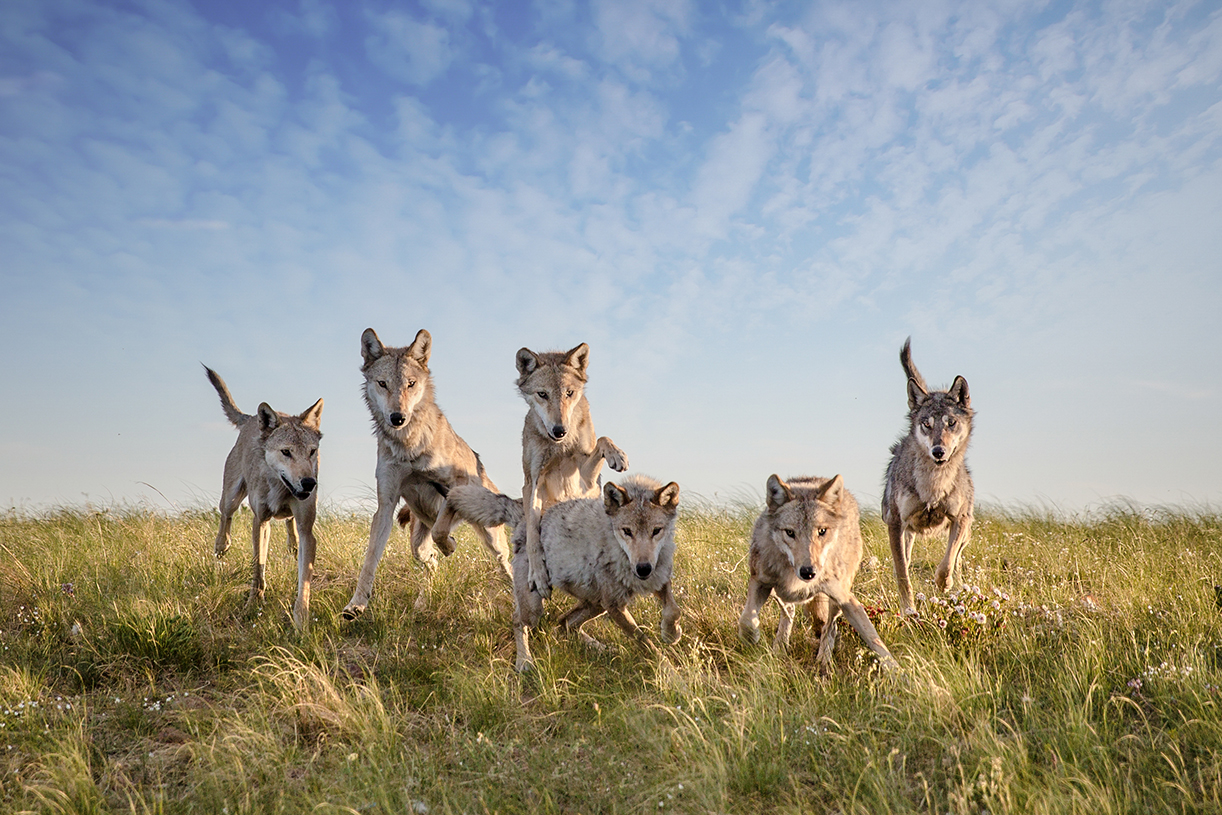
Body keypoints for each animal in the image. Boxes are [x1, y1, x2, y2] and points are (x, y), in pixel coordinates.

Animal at [202, 366, 322, 635]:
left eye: (311, 452)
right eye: (286, 452)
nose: (309, 483)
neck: (280, 488)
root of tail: (250, 419)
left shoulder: (307, 529)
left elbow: (304, 582)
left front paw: (301, 621)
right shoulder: (261, 520)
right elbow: (258, 567)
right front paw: (253, 604)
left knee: (289, 523)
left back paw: (292, 545)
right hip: (232, 496)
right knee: (225, 516)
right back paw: (221, 545)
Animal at [342, 327, 513, 620]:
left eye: (410, 384)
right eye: (383, 383)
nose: (397, 417)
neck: (408, 446)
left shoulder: (455, 484)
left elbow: (442, 528)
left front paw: (450, 545)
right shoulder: (385, 504)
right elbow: (370, 560)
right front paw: (356, 604)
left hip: (493, 539)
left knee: (506, 563)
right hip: (416, 543)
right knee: (430, 561)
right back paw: (422, 602)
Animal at [449, 474, 684, 674]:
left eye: (656, 531)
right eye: (627, 531)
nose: (643, 568)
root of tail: (524, 514)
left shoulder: (658, 578)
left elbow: (674, 609)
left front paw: (671, 634)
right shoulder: (615, 605)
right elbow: (645, 642)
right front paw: (670, 674)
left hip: (596, 604)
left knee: (564, 624)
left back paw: (604, 649)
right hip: (537, 608)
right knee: (520, 621)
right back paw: (524, 662)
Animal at [733, 474, 899, 674]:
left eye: (821, 531)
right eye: (790, 532)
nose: (808, 572)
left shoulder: (846, 599)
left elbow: (874, 639)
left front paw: (899, 672)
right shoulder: (760, 581)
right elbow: (747, 619)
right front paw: (751, 637)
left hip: (836, 601)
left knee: (829, 626)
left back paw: (823, 661)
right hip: (779, 593)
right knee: (789, 612)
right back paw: (780, 648)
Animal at [879, 337, 972, 610]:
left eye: (951, 423)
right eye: (926, 424)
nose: (938, 451)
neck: (934, 484)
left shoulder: (960, 519)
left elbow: (947, 562)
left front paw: (944, 584)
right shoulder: (895, 523)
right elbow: (902, 574)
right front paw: (908, 610)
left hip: (967, 532)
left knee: (958, 559)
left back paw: (958, 585)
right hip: (905, 533)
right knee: (905, 560)